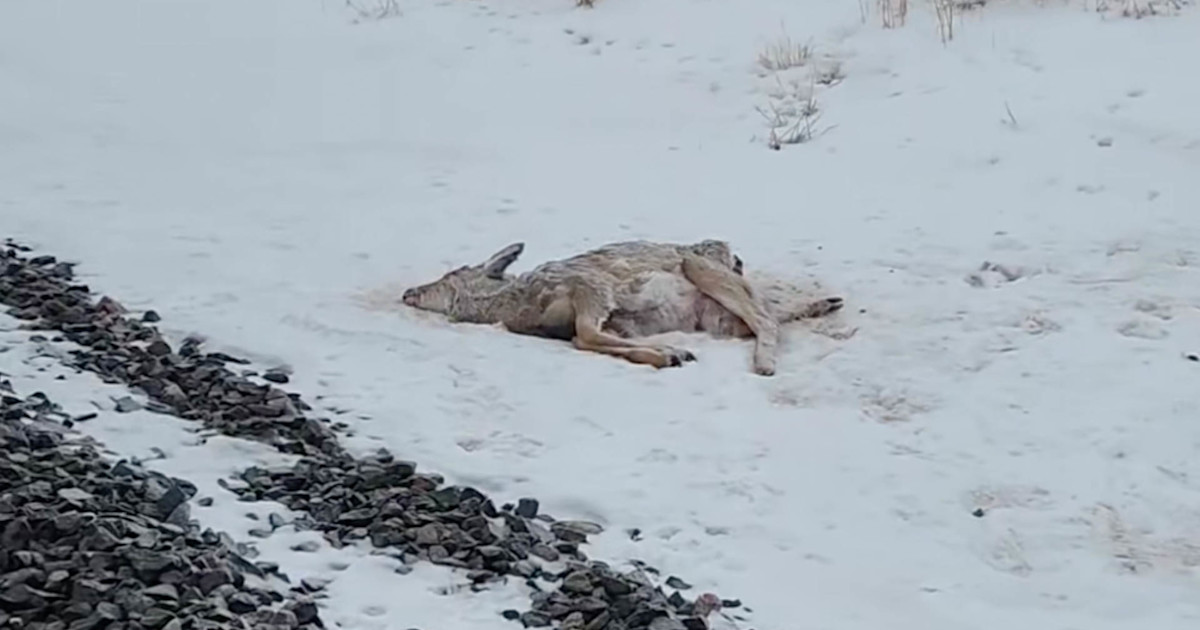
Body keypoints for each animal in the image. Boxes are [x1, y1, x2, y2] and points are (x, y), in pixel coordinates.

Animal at [401, 239, 844, 376]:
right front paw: (668, 353)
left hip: (703, 277)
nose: (408, 292)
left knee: (766, 318)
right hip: (713, 301)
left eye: (449, 275)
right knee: (765, 318)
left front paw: (667, 353)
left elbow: (589, 335)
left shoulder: (590, 289)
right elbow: (590, 337)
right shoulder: (598, 307)